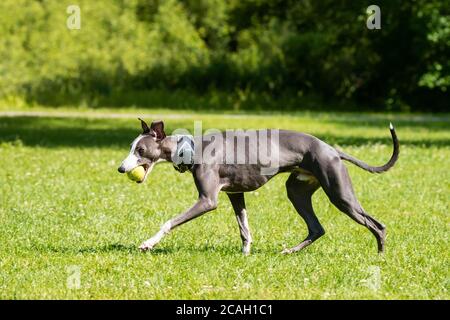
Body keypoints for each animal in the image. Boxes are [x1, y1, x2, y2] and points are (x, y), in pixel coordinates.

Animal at [118, 119, 400, 255]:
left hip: (340, 194)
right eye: (131, 147)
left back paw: (380, 256)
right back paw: (289, 251)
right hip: (297, 191)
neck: (190, 147)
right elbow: (244, 229)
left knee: (377, 225)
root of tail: (331, 149)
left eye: (140, 150)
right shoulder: (235, 195)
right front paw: (245, 254)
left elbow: (169, 222)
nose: (121, 168)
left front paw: (147, 244)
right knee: (316, 228)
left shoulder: (208, 200)